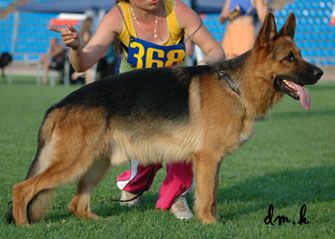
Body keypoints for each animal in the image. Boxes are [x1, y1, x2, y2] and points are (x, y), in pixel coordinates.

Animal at [7, 12, 322, 226]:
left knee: (76, 204)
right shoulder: (207, 159)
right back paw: (24, 226)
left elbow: (211, 194)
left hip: (95, 163)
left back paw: (96, 221)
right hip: (74, 162)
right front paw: (211, 224)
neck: (236, 85)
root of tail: (59, 105)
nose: (320, 73)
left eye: (300, 54)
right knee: (22, 189)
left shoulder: (211, 161)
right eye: (290, 58)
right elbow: (207, 196)